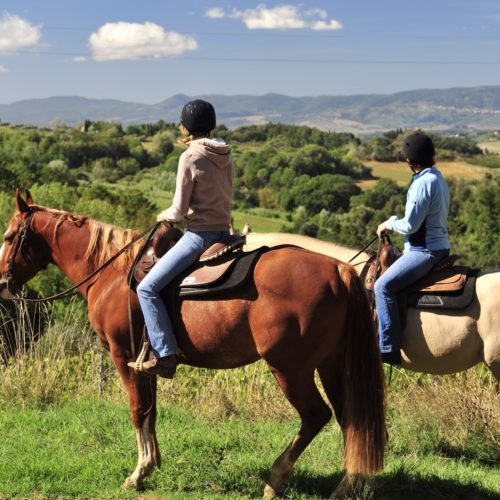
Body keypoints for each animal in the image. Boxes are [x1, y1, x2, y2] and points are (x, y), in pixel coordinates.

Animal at [0, 190, 386, 496]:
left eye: (9, 235)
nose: (3, 282)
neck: (111, 273)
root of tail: (339, 271)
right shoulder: (149, 362)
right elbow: (151, 411)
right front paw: (153, 463)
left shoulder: (123, 356)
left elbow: (137, 410)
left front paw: (138, 473)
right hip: (332, 364)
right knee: (352, 420)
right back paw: (347, 484)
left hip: (290, 368)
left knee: (316, 416)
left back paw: (276, 479)